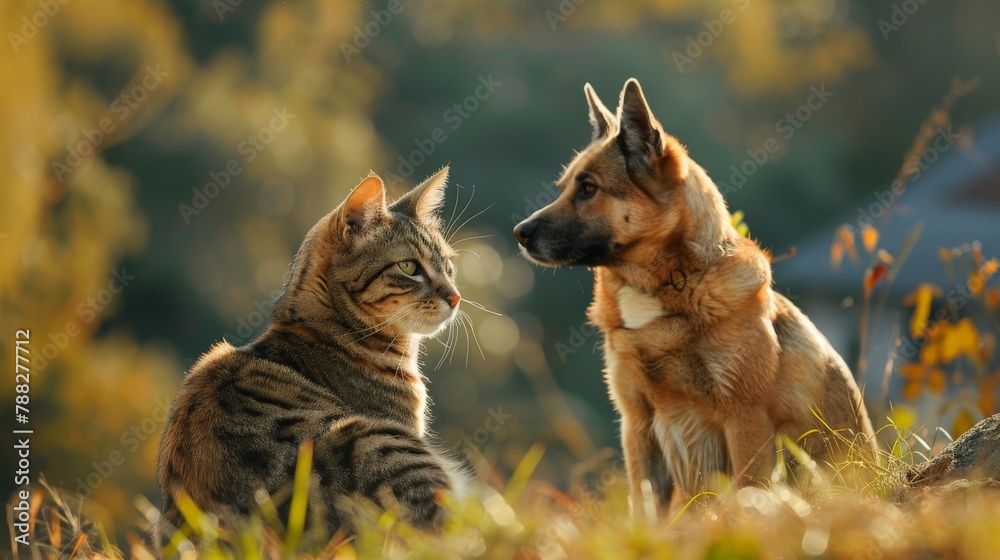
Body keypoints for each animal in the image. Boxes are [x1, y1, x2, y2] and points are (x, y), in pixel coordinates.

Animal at [516, 77, 876, 516]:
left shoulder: (744, 422)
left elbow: (748, 496)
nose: (519, 233)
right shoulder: (638, 427)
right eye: (565, 187)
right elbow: (647, 511)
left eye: (588, 189)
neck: (667, 287)